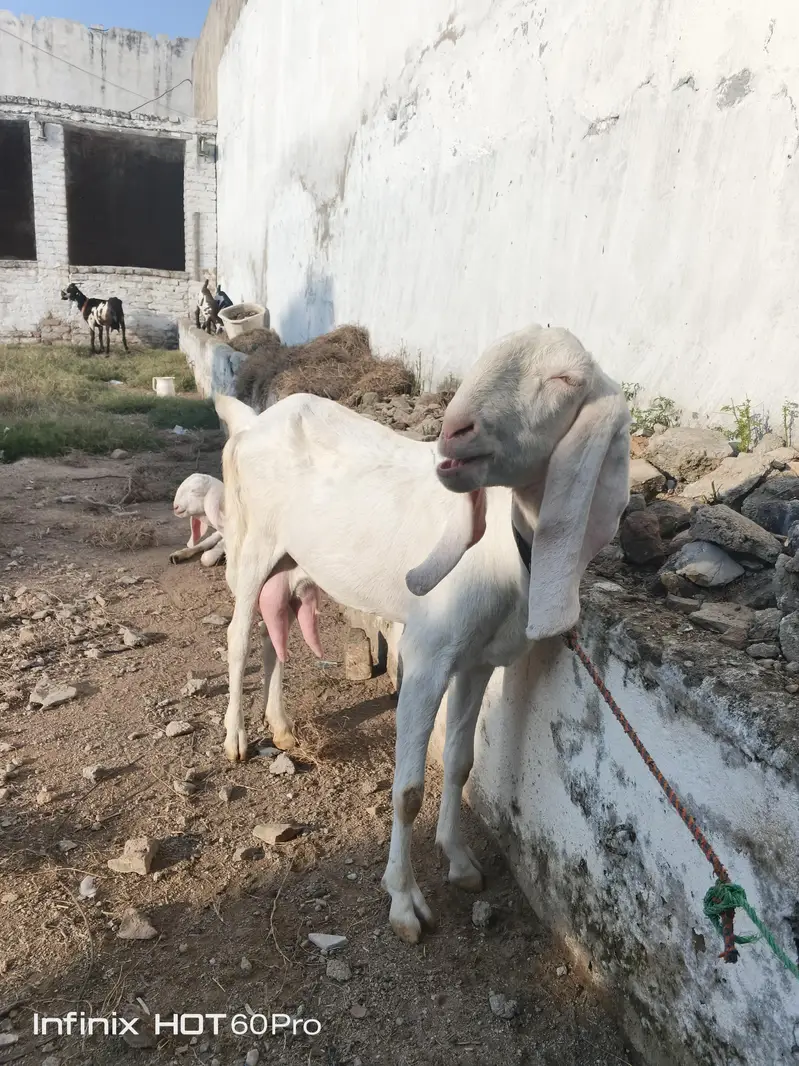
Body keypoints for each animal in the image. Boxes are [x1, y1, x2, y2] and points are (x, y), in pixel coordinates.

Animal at [216, 324, 631, 944]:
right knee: (239, 636)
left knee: (275, 630)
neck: (505, 550)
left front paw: (459, 861)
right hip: (252, 542)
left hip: (290, 558)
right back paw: (237, 739)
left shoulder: (480, 660)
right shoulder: (428, 655)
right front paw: (405, 901)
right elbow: (409, 790)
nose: (455, 431)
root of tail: (252, 422)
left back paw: (282, 727)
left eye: (564, 379)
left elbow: (460, 763)